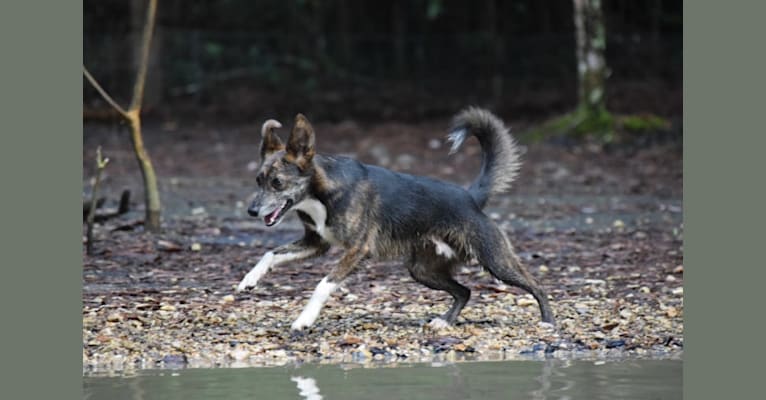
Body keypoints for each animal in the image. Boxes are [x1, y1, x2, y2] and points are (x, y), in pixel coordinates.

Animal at [237, 108, 556, 330]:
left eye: (277, 183)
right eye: (258, 180)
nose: (251, 211)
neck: (320, 192)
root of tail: (471, 197)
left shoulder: (357, 250)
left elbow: (323, 285)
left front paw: (304, 320)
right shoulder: (316, 244)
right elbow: (270, 254)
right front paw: (248, 280)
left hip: (495, 260)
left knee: (537, 285)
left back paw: (548, 322)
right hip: (422, 270)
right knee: (464, 291)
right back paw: (445, 321)